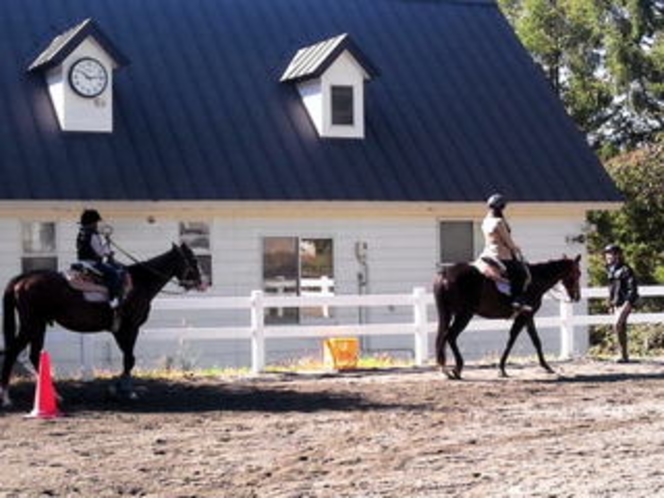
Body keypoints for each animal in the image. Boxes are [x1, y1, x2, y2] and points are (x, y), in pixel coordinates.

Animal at [0, 243, 202, 406]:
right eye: (193, 259)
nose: (201, 282)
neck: (139, 282)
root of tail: (22, 279)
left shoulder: (120, 331)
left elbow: (128, 358)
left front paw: (117, 389)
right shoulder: (130, 328)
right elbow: (130, 359)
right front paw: (125, 391)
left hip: (38, 326)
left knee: (34, 355)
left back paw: (55, 396)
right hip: (31, 325)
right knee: (12, 353)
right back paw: (6, 398)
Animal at [434, 255, 580, 380]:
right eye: (578, 273)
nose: (577, 297)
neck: (536, 280)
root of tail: (445, 274)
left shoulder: (528, 316)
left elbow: (535, 340)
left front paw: (546, 366)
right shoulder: (524, 316)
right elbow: (512, 339)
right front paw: (502, 369)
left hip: (450, 313)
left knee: (445, 337)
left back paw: (445, 369)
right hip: (464, 314)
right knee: (450, 336)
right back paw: (456, 369)